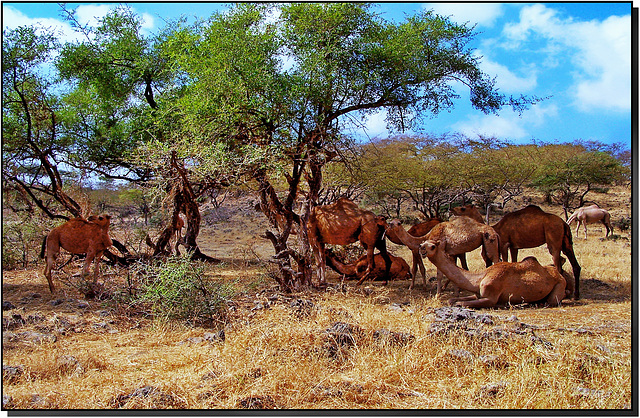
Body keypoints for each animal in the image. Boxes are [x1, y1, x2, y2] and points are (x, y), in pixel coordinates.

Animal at [422, 238, 568, 306]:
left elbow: (460, 303)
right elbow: (451, 300)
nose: (421, 248)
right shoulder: (477, 294)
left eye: (432, 246)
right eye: (424, 242)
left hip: (559, 285)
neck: (478, 279)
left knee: (551, 300)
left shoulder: (490, 297)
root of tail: (559, 275)